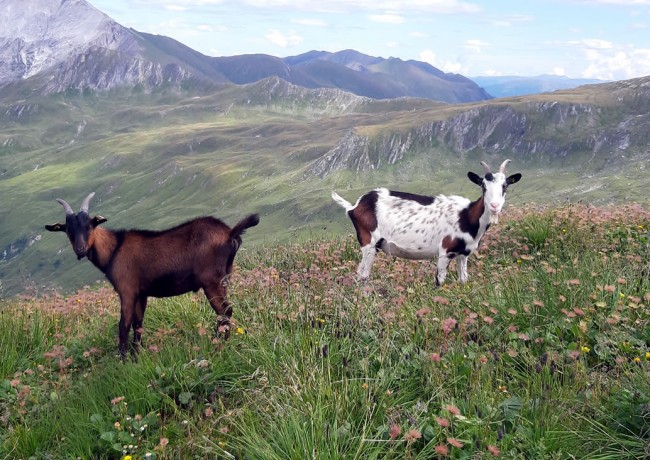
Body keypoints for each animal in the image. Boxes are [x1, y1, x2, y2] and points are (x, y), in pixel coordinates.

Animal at [45, 193, 259, 359]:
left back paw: (218, 345)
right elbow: (138, 324)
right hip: (224, 279)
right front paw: (136, 356)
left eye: (90, 225)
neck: (114, 248)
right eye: (68, 230)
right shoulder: (141, 294)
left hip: (212, 282)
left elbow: (123, 326)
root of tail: (230, 233)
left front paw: (123, 361)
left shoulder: (127, 291)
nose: (80, 249)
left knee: (224, 312)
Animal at [331, 159, 521, 285]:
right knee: (363, 273)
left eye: (505, 186)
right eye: (483, 186)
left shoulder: (463, 254)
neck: (466, 216)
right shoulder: (445, 251)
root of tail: (355, 206)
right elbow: (439, 281)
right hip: (368, 241)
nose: (494, 206)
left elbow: (463, 280)